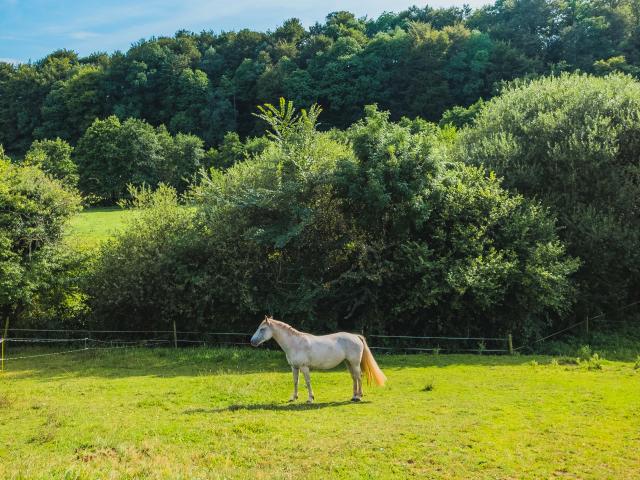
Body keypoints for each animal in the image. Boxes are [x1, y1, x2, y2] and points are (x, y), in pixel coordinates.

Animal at [249, 316, 384, 404]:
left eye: (262, 329)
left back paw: (359, 397)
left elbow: (307, 382)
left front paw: (310, 398)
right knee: (354, 377)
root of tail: (355, 336)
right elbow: (295, 382)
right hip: (348, 363)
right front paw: (294, 397)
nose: (252, 341)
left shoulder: (304, 367)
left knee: (359, 377)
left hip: (354, 363)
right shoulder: (294, 367)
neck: (295, 343)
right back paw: (354, 396)